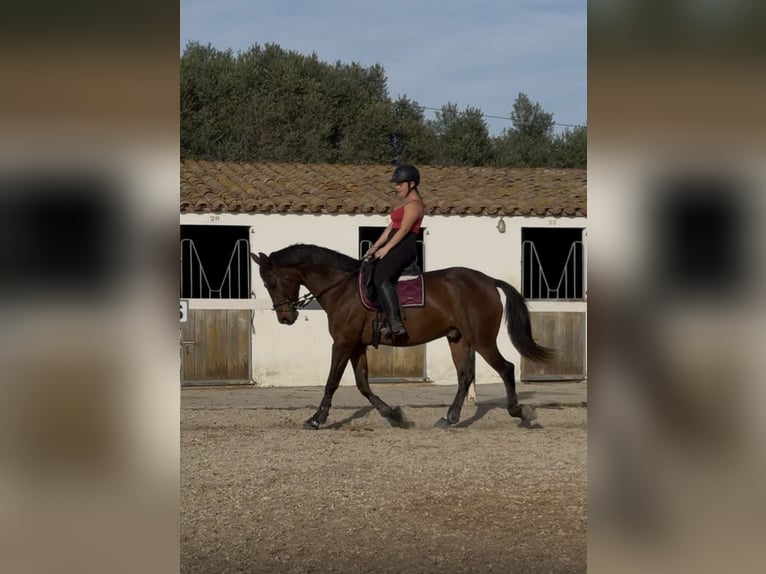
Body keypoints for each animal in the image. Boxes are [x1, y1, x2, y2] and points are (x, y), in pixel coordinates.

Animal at [250, 244, 553, 429]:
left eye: (273, 282)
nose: (285, 318)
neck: (342, 288)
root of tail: (489, 281)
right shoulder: (357, 346)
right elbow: (363, 385)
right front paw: (395, 415)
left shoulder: (343, 343)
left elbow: (332, 382)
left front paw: (316, 419)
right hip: (458, 338)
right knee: (465, 376)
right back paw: (450, 417)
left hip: (481, 339)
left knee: (506, 368)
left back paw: (520, 412)